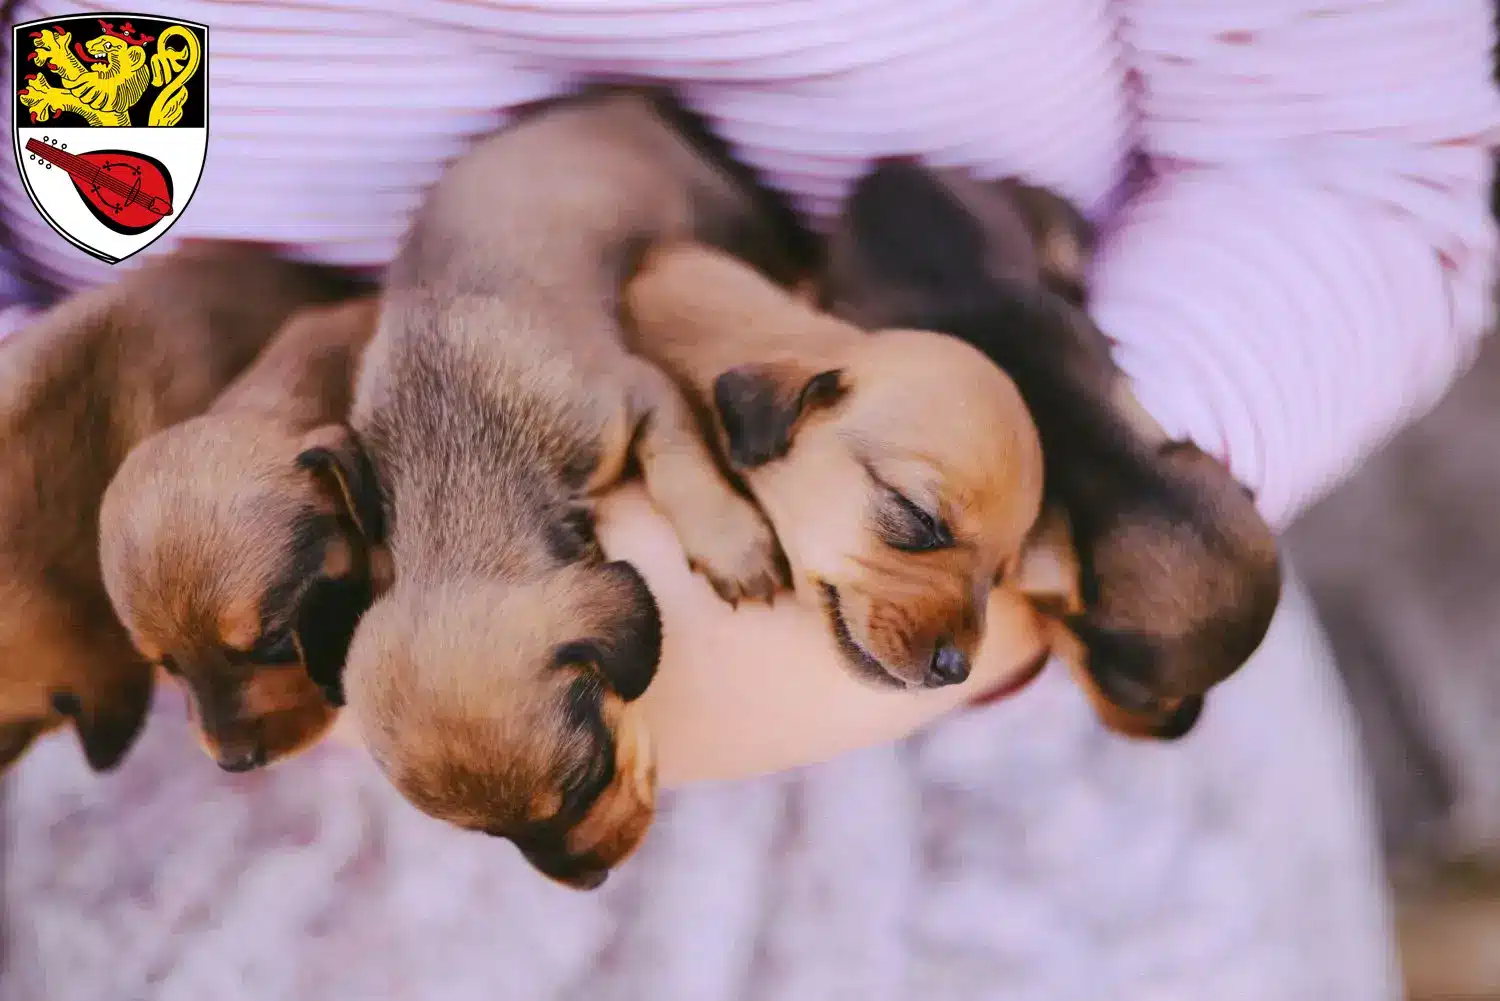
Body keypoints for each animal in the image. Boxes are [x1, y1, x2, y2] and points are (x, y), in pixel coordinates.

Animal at [342, 91, 810, 894]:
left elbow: (681, 467)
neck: (455, 445)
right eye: (490, 833)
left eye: (582, 782)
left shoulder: (637, 397)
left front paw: (730, 543)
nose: (587, 882)